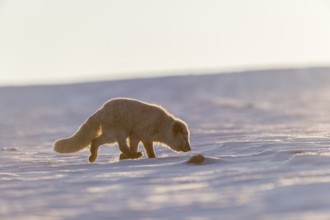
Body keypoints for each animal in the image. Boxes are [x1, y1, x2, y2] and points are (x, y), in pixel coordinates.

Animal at [52, 98, 189, 163]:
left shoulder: (147, 138)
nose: (189, 148)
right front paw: (133, 154)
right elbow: (133, 143)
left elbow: (150, 150)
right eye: (185, 137)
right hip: (117, 132)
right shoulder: (137, 132)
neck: (161, 125)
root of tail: (100, 111)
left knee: (97, 141)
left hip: (112, 134)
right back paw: (132, 155)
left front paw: (152, 157)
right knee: (116, 144)